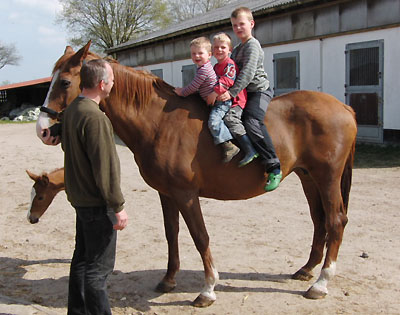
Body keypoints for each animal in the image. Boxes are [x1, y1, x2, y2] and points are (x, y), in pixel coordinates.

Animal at [36, 41, 358, 306]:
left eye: (65, 81)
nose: (42, 130)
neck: (159, 121)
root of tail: (344, 107)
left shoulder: (186, 194)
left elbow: (200, 236)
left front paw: (208, 289)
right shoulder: (166, 193)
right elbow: (172, 233)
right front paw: (168, 279)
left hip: (327, 178)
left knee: (336, 221)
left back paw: (321, 283)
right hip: (308, 177)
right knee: (319, 221)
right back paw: (307, 270)